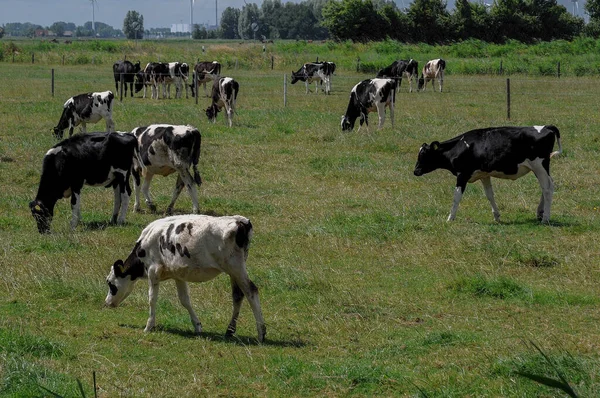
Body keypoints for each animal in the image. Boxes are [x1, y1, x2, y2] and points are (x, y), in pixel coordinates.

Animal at [105, 215, 268, 342]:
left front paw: (149, 326)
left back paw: (261, 333)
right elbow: (185, 300)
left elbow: (152, 299)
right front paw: (197, 326)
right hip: (234, 271)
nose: (107, 303)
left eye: (110, 284)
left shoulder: (153, 272)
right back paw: (229, 331)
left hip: (236, 267)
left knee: (251, 291)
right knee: (238, 295)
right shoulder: (179, 274)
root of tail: (240, 221)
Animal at [412, 125, 564, 222]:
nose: (415, 171)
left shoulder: (463, 175)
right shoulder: (484, 175)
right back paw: (540, 213)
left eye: (423, 155)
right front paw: (496, 216)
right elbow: (489, 195)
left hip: (539, 165)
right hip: (539, 168)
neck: (459, 147)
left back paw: (545, 218)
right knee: (547, 187)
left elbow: (456, 196)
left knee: (547, 188)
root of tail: (547, 127)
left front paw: (450, 218)